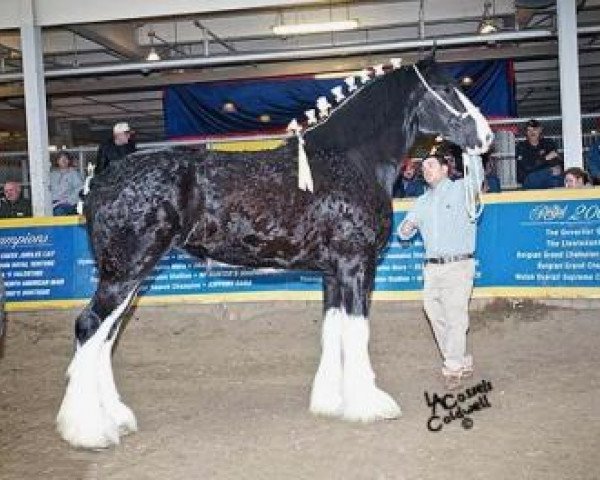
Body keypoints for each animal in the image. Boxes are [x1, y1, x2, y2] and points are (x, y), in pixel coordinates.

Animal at [56, 58, 490, 448]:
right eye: (448, 89)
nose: (485, 139)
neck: (350, 159)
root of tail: (100, 183)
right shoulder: (355, 266)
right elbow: (357, 330)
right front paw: (369, 405)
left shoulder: (332, 273)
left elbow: (333, 329)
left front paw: (331, 401)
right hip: (124, 272)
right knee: (90, 327)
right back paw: (88, 431)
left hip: (129, 276)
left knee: (107, 335)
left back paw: (115, 418)